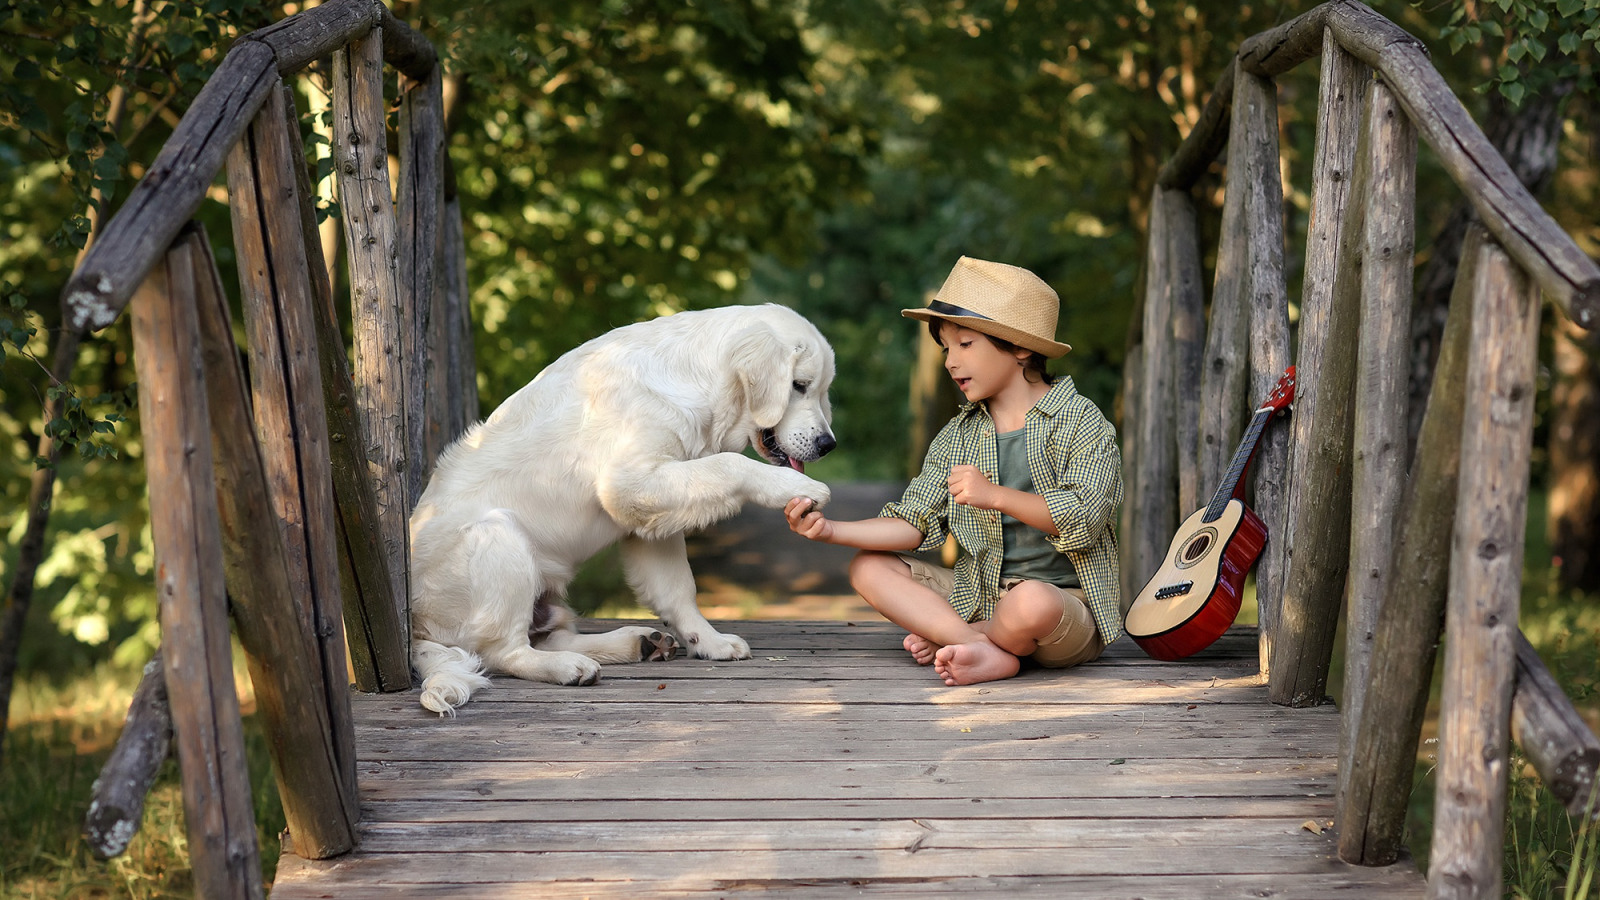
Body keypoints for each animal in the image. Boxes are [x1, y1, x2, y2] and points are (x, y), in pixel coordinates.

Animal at [406, 304, 838, 711]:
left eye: (820, 390)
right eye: (798, 386)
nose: (828, 445)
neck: (695, 380)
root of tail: (414, 625)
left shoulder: (654, 517)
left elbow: (678, 589)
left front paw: (708, 641)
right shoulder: (630, 484)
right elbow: (729, 464)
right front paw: (799, 487)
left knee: (545, 638)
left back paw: (638, 642)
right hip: (498, 536)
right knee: (503, 651)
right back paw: (570, 667)